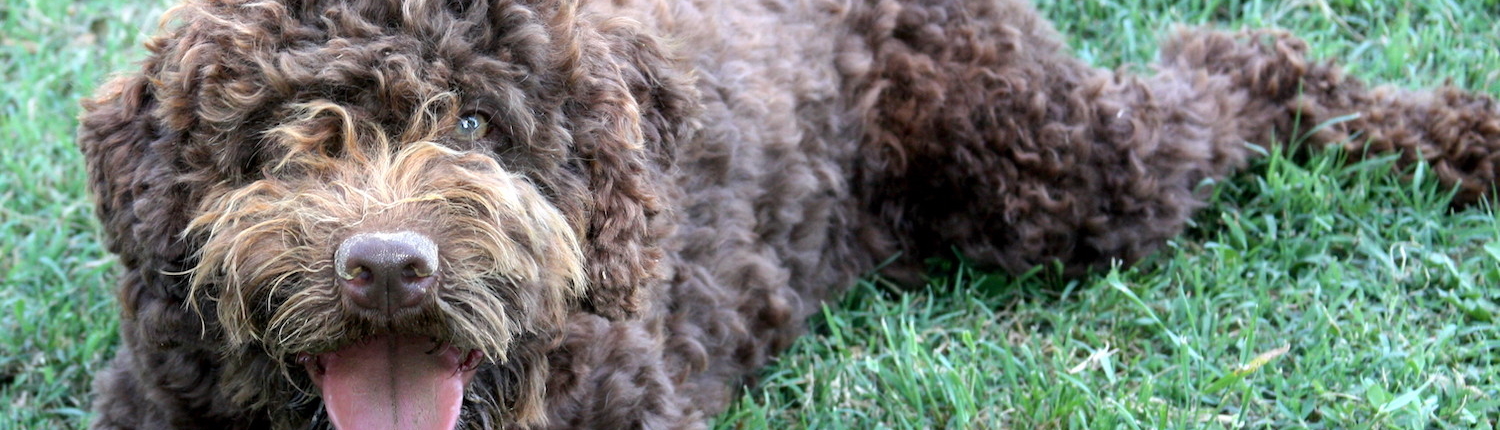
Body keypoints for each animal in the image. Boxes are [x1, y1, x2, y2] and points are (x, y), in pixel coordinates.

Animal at [79, 0, 1500, 428]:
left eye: (477, 123)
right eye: (280, 135)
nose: (387, 267)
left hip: (1056, 167)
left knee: (1237, 64)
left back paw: (1454, 134)